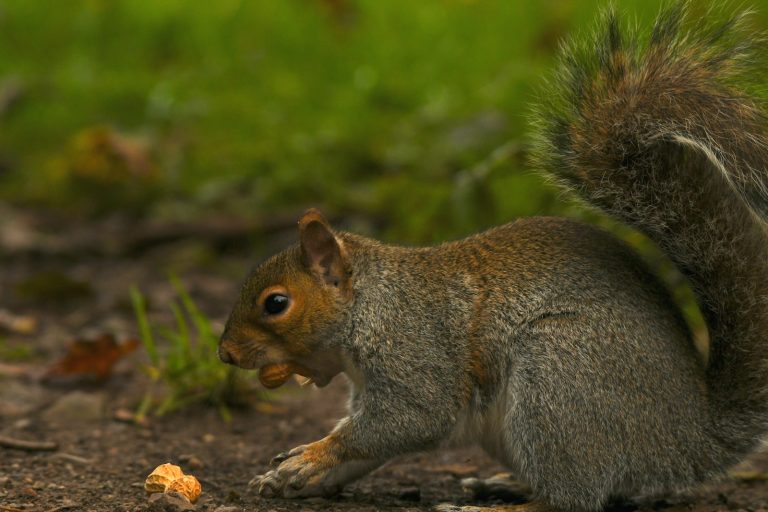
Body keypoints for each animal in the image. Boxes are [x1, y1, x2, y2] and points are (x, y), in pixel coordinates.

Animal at [218, 3, 768, 511]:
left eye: (275, 303)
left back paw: (496, 504)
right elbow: (370, 447)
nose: (225, 354)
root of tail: (690, 441)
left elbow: (407, 419)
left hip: (561, 377)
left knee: (573, 498)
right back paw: (504, 484)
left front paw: (313, 456)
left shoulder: (415, 352)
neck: (369, 303)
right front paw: (296, 474)